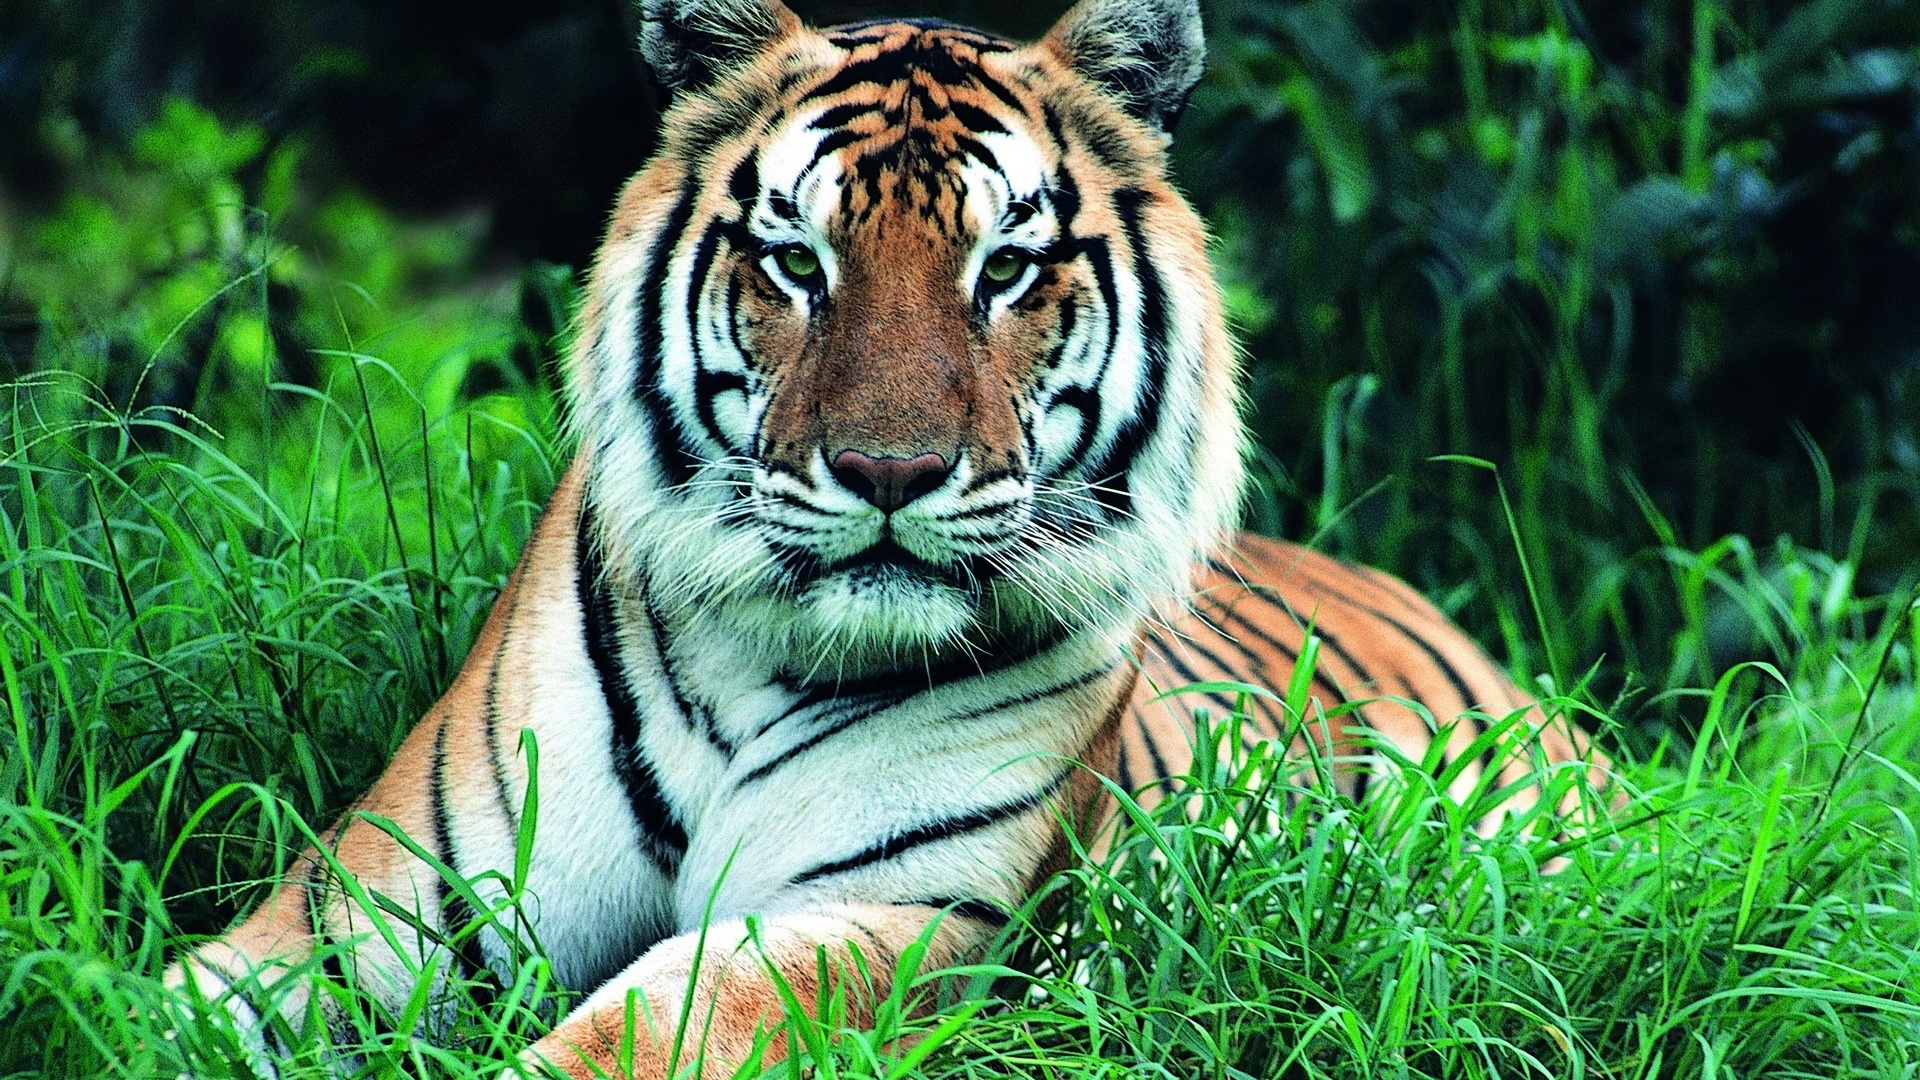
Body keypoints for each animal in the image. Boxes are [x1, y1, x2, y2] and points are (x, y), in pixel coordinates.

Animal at [170, 0, 1607, 1075]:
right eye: (798, 262)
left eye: (1007, 270)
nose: (888, 472)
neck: (745, 674)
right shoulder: (366, 916)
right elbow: (171, 1004)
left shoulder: (886, 914)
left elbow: (647, 1029)